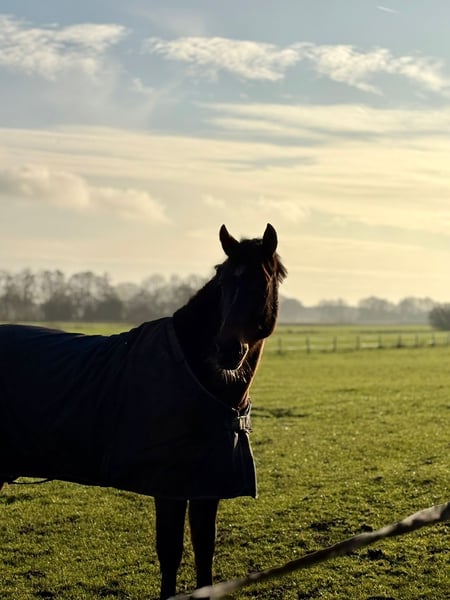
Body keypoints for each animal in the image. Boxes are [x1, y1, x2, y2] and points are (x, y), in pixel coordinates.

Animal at [0, 224, 286, 600]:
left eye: (261, 282)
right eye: (223, 281)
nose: (226, 349)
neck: (193, 369)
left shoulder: (207, 483)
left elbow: (204, 550)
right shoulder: (169, 485)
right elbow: (170, 551)